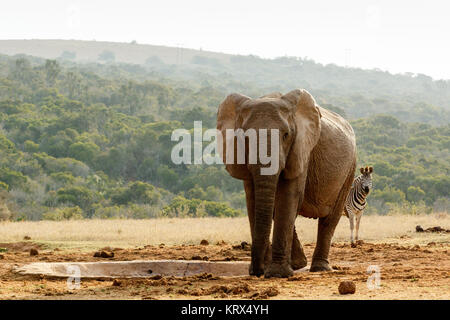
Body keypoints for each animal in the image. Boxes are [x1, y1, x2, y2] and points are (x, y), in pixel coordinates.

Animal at [216, 89, 356, 278]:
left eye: (286, 135)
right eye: (245, 137)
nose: (257, 272)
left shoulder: (302, 149)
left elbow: (288, 196)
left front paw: (277, 274)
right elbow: (253, 199)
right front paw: (268, 269)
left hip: (350, 168)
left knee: (330, 219)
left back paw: (319, 268)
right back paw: (298, 264)